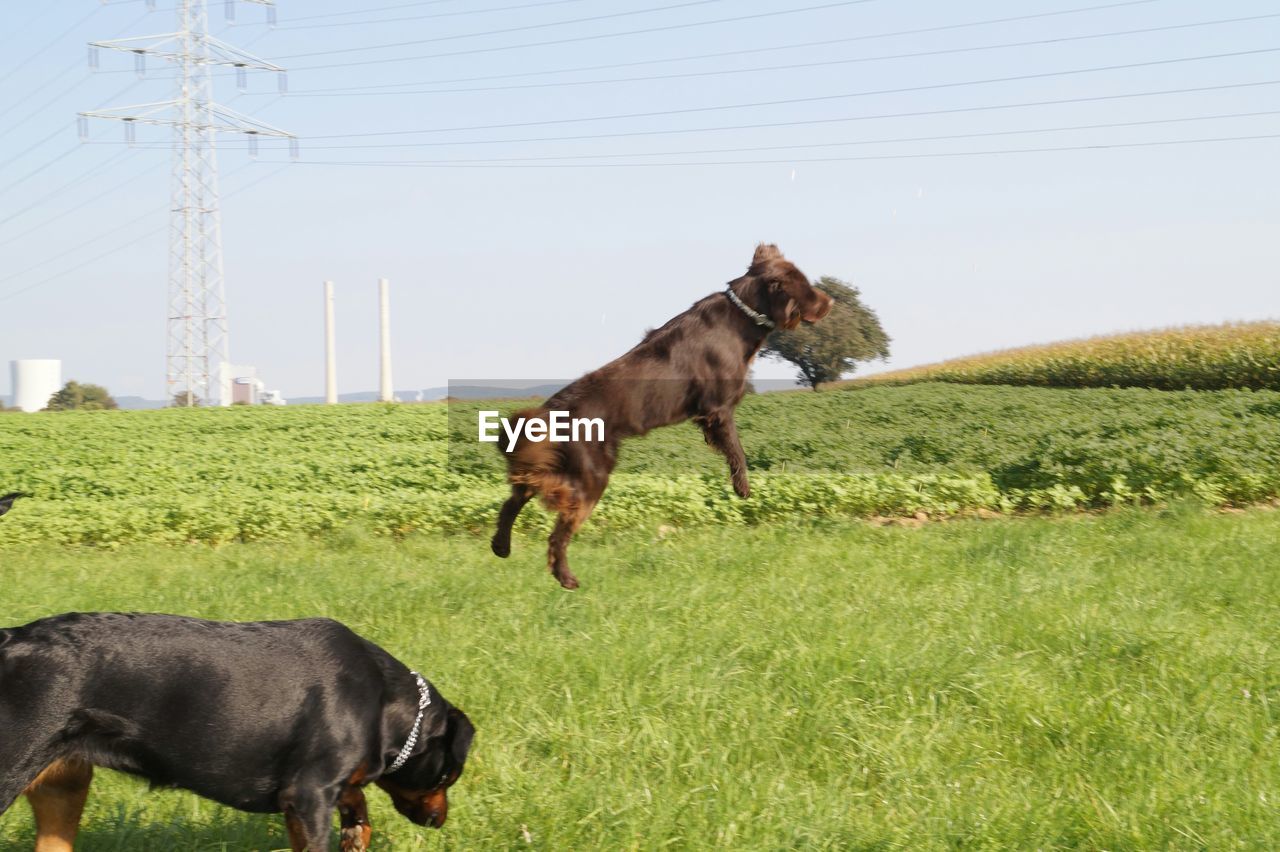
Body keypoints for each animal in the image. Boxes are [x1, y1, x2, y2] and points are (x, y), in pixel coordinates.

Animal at [0, 611, 476, 849]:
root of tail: (11, 638)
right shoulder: (307, 796)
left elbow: (355, 800)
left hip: (63, 786)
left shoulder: (314, 789)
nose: (439, 820)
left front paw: (357, 827)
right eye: (449, 776)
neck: (382, 705)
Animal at [488, 241, 829, 588]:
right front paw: (742, 488)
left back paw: (501, 547)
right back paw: (566, 578)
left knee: (515, 497)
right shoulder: (718, 410)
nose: (830, 302)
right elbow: (737, 451)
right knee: (558, 529)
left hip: (553, 465)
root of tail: (549, 415)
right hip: (591, 474)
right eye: (806, 287)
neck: (741, 316)